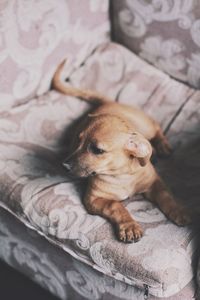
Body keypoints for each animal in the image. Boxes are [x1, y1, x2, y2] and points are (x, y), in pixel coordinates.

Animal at [51, 59, 191, 243]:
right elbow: (115, 205)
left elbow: (166, 196)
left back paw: (162, 145)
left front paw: (178, 211)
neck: (121, 175)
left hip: (146, 125)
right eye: (77, 141)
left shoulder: (155, 183)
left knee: (156, 127)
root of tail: (108, 103)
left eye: (97, 150)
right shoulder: (94, 199)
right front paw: (129, 226)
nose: (64, 166)